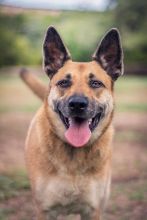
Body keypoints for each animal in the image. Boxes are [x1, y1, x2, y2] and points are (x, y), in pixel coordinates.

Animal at [20, 26, 123, 220]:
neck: (74, 155)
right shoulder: (45, 211)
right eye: (64, 83)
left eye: (96, 83)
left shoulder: (93, 211)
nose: (77, 104)